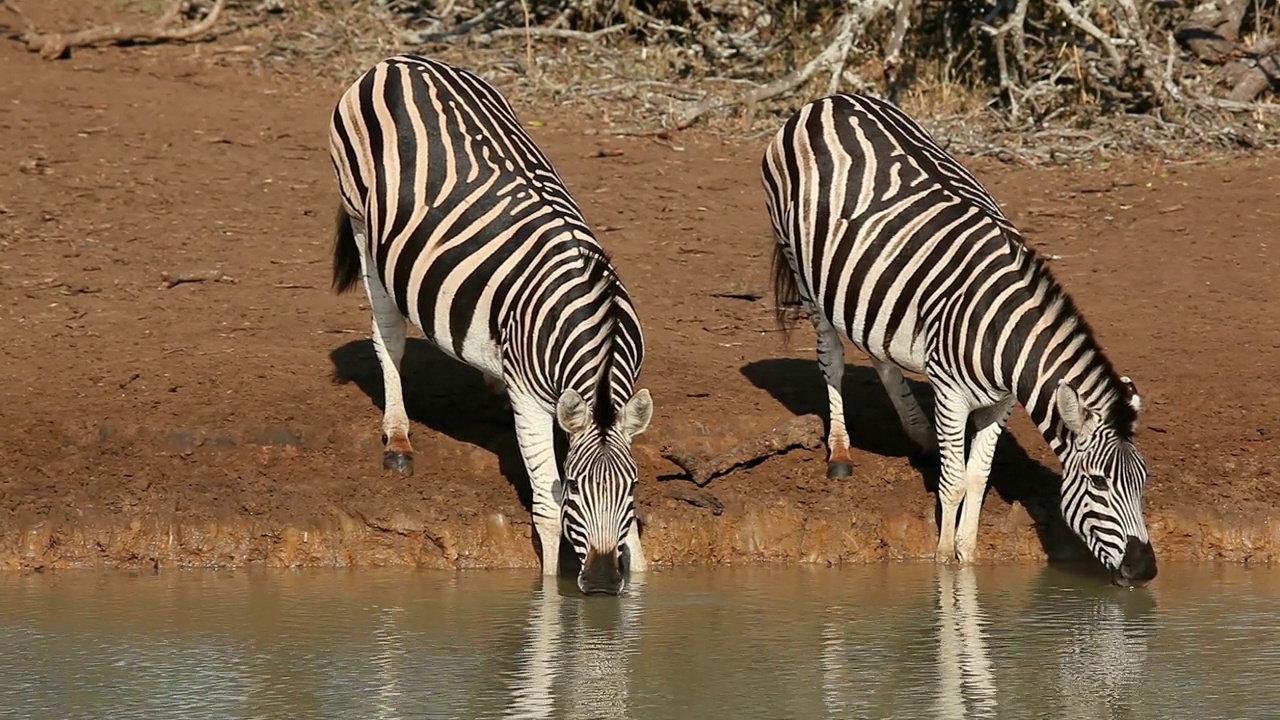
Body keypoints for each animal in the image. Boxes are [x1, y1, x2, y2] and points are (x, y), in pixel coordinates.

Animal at [325, 54, 655, 594]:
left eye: (631, 488)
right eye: (575, 491)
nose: (605, 584)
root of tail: (400, 60)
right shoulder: (533, 400)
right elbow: (546, 508)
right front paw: (548, 594)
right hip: (361, 223)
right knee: (387, 335)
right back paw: (398, 439)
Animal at [757, 92, 1162, 586]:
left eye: (1143, 481)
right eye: (1098, 483)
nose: (1145, 570)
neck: (1005, 337)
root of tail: (830, 99)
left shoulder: (1001, 403)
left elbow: (976, 477)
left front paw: (967, 557)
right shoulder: (950, 394)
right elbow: (952, 483)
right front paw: (943, 562)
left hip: (871, 287)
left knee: (879, 351)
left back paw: (920, 434)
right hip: (803, 270)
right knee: (831, 355)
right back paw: (840, 451)